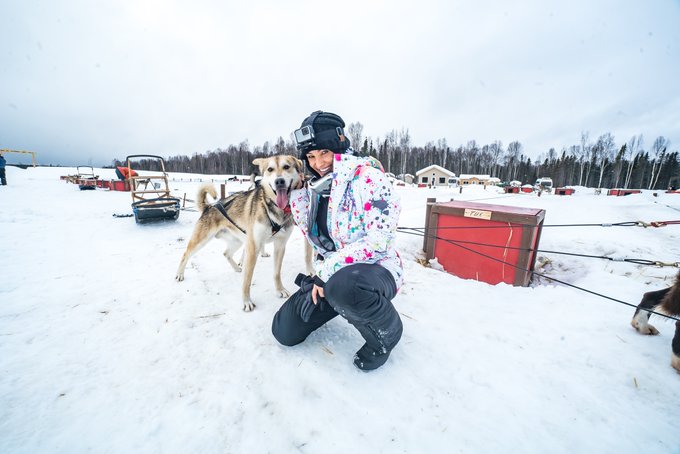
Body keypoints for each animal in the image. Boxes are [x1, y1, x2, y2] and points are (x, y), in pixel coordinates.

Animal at [175, 156, 306, 312]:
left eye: (287, 167)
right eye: (270, 169)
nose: (279, 181)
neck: (274, 209)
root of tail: (209, 206)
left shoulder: (280, 245)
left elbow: (276, 273)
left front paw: (279, 290)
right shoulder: (253, 247)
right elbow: (247, 280)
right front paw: (246, 301)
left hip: (237, 241)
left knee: (226, 253)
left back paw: (237, 268)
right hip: (201, 240)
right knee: (185, 254)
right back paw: (179, 274)